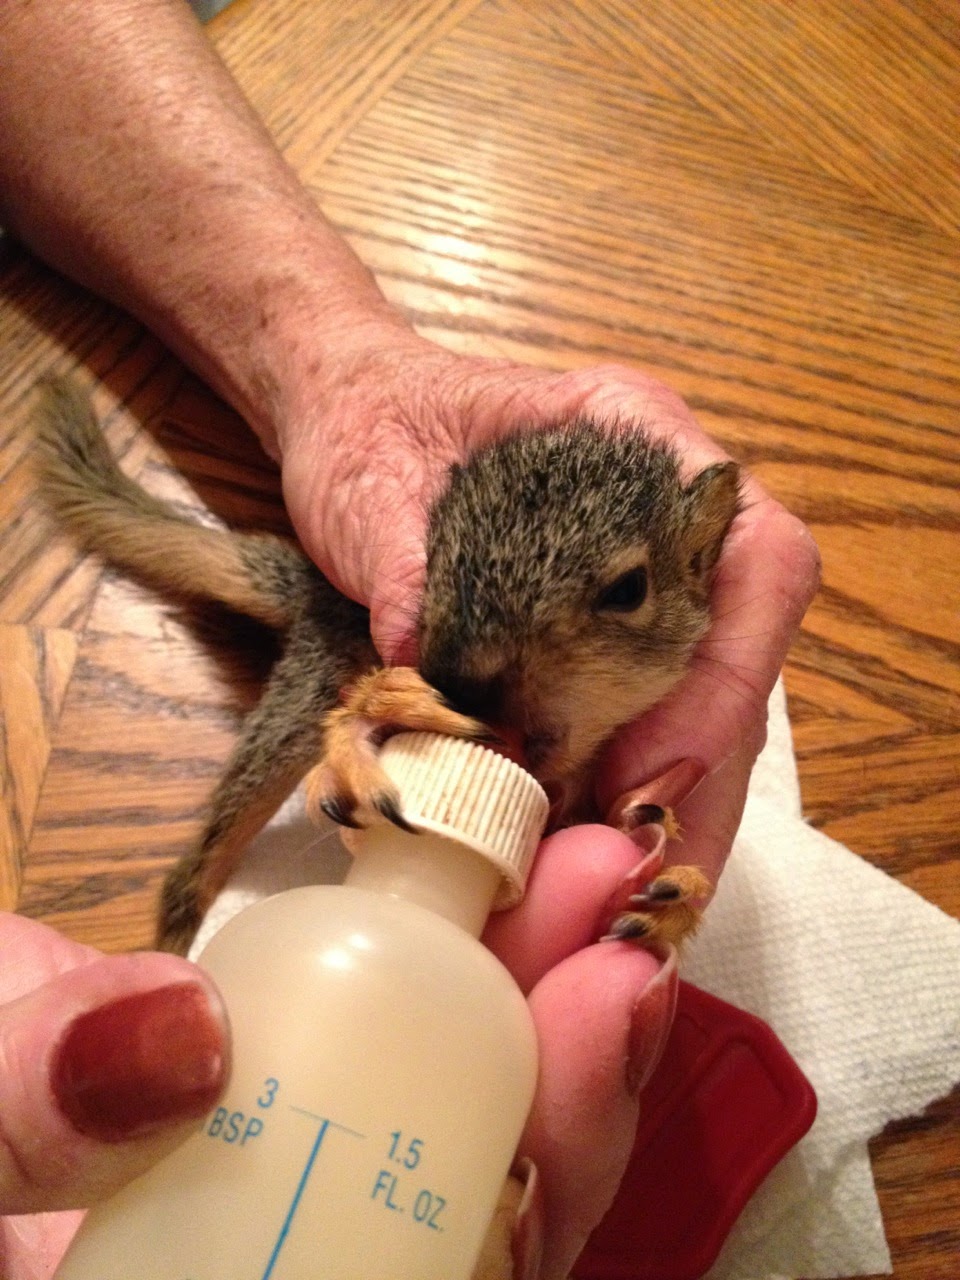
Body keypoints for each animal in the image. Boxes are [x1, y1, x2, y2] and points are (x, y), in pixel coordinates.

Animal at [35, 377, 740, 956]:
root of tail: (317, 589)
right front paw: (378, 719)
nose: (454, 677)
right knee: (198, 868)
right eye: (431, 554)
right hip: (304, 695)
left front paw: (671, 894)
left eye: (629, 590)